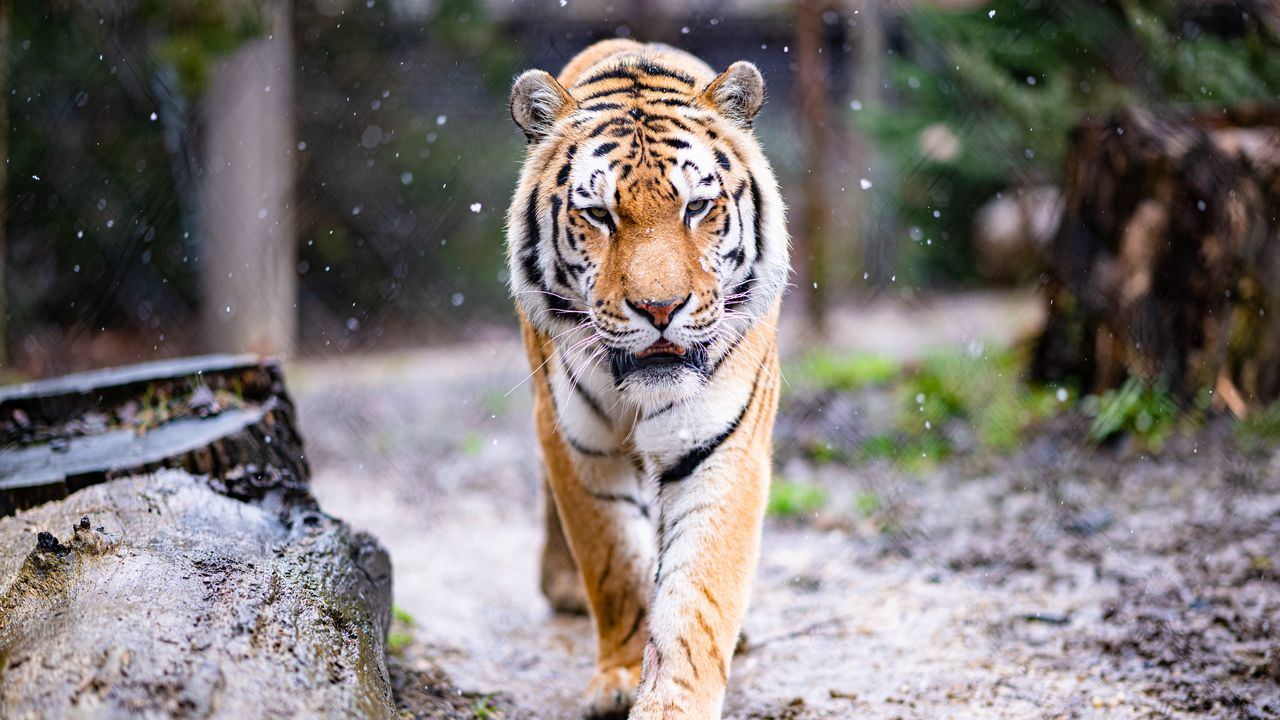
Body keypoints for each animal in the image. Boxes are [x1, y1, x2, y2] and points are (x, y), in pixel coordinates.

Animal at [505, 39, 788, 719]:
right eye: (599, 214)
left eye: (697, 207)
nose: (660, 310)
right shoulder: (578, 444)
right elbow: (613, 563)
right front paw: (622, 673)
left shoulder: (724, 446)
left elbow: (699, 595)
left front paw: (672, 699)